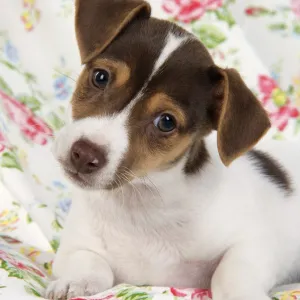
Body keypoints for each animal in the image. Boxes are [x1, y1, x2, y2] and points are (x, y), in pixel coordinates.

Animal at [45, 0, 300, 300]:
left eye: (166, 122)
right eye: (100, 77)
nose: (84, 154)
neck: (141, 205)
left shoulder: (257, 244)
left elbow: (228, 274)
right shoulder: (75, 245)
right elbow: (90, 263)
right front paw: (74, 282)